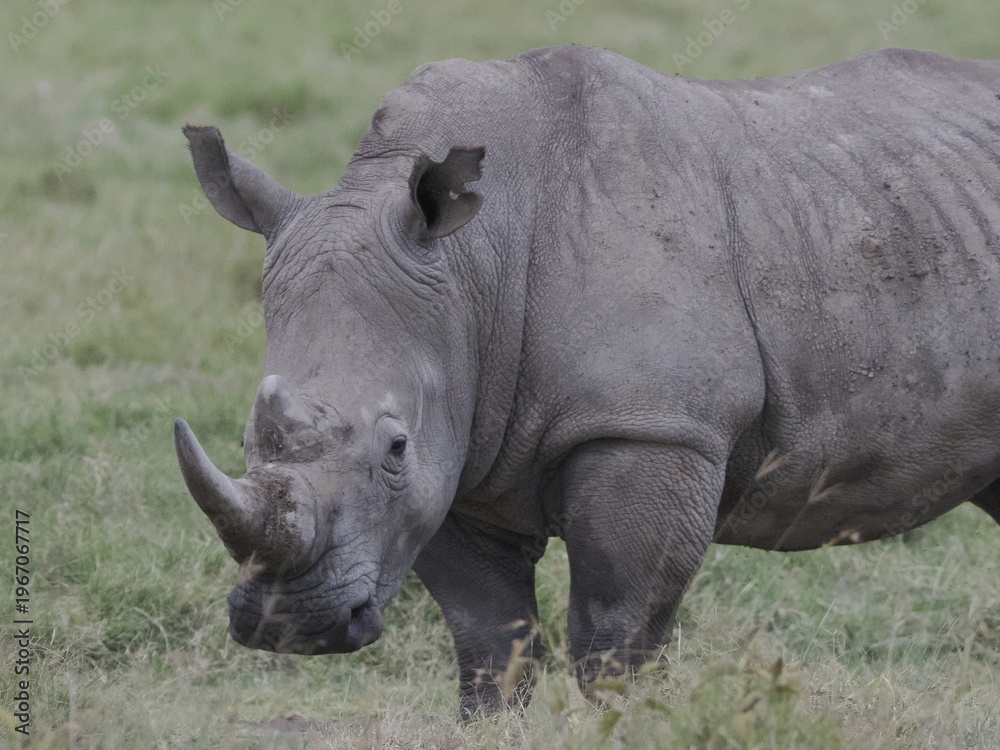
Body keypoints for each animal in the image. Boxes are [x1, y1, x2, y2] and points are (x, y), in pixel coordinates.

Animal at [175, 45, 1000, 716]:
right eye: (246, 441)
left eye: (395, 447)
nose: (293, 626)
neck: (473, 269)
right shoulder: (458, 454)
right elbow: (488, 643)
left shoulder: (652, 429)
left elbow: (615, 637)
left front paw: (630, 726)